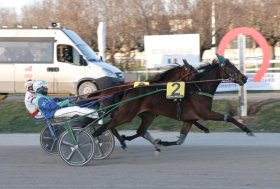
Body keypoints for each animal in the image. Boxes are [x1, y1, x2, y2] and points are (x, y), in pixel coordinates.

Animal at [93, 54, 253, 151]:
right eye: (231, 67)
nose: (244, 78)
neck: (199, 89)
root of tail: (125, 91)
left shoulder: (189, 118)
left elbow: (180, 140)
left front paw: (162, 142)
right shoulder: (206, 113)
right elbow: (229, 117)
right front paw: (248, 130)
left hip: (147, 115)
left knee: (139, 131)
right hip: (126, 115)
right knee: (106, 127)